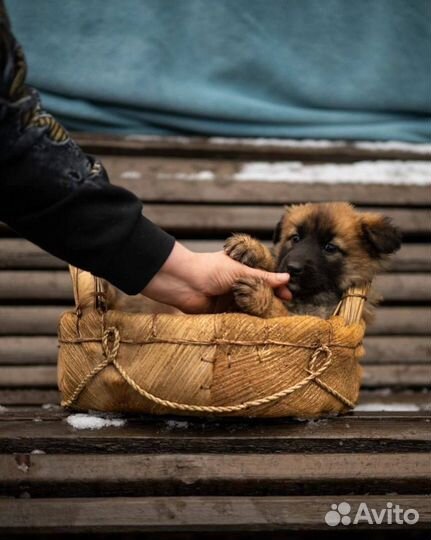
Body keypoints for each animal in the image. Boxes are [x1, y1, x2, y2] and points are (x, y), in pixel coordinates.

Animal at [224, 202, 404, 320]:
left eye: (330, 247)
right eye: (295, 238)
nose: (292, 268)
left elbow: (284, 316)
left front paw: (262, 297)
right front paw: (252, 248)